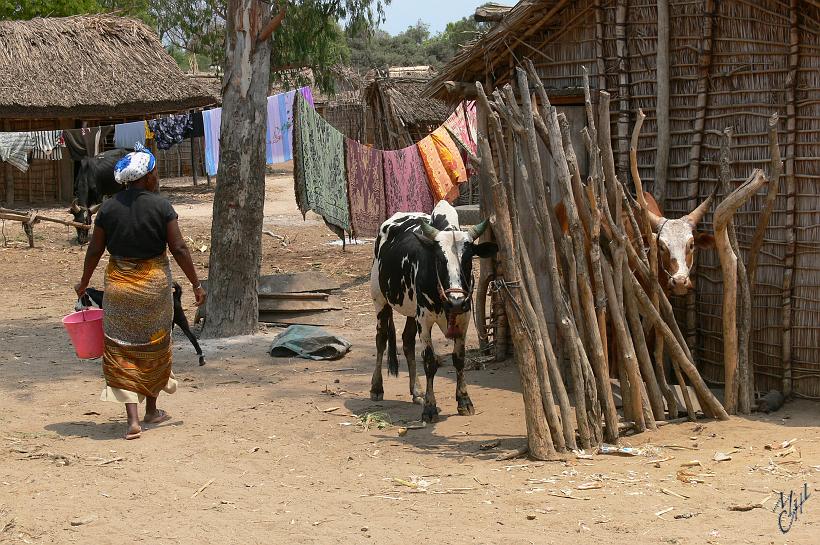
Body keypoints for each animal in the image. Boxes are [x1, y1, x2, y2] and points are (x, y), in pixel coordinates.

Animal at [374, 202, 500, 422]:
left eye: (468, 258)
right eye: (439, 259)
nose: (456, 301)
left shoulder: (464, 318)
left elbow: (459, 359)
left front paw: (464, 401)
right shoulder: (424, 320)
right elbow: (429, 361)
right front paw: (430, 407)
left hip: (411, 311)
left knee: (407, 341)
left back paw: (416, 391)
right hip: (380, 300)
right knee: (381, 339)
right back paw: (376, 388)